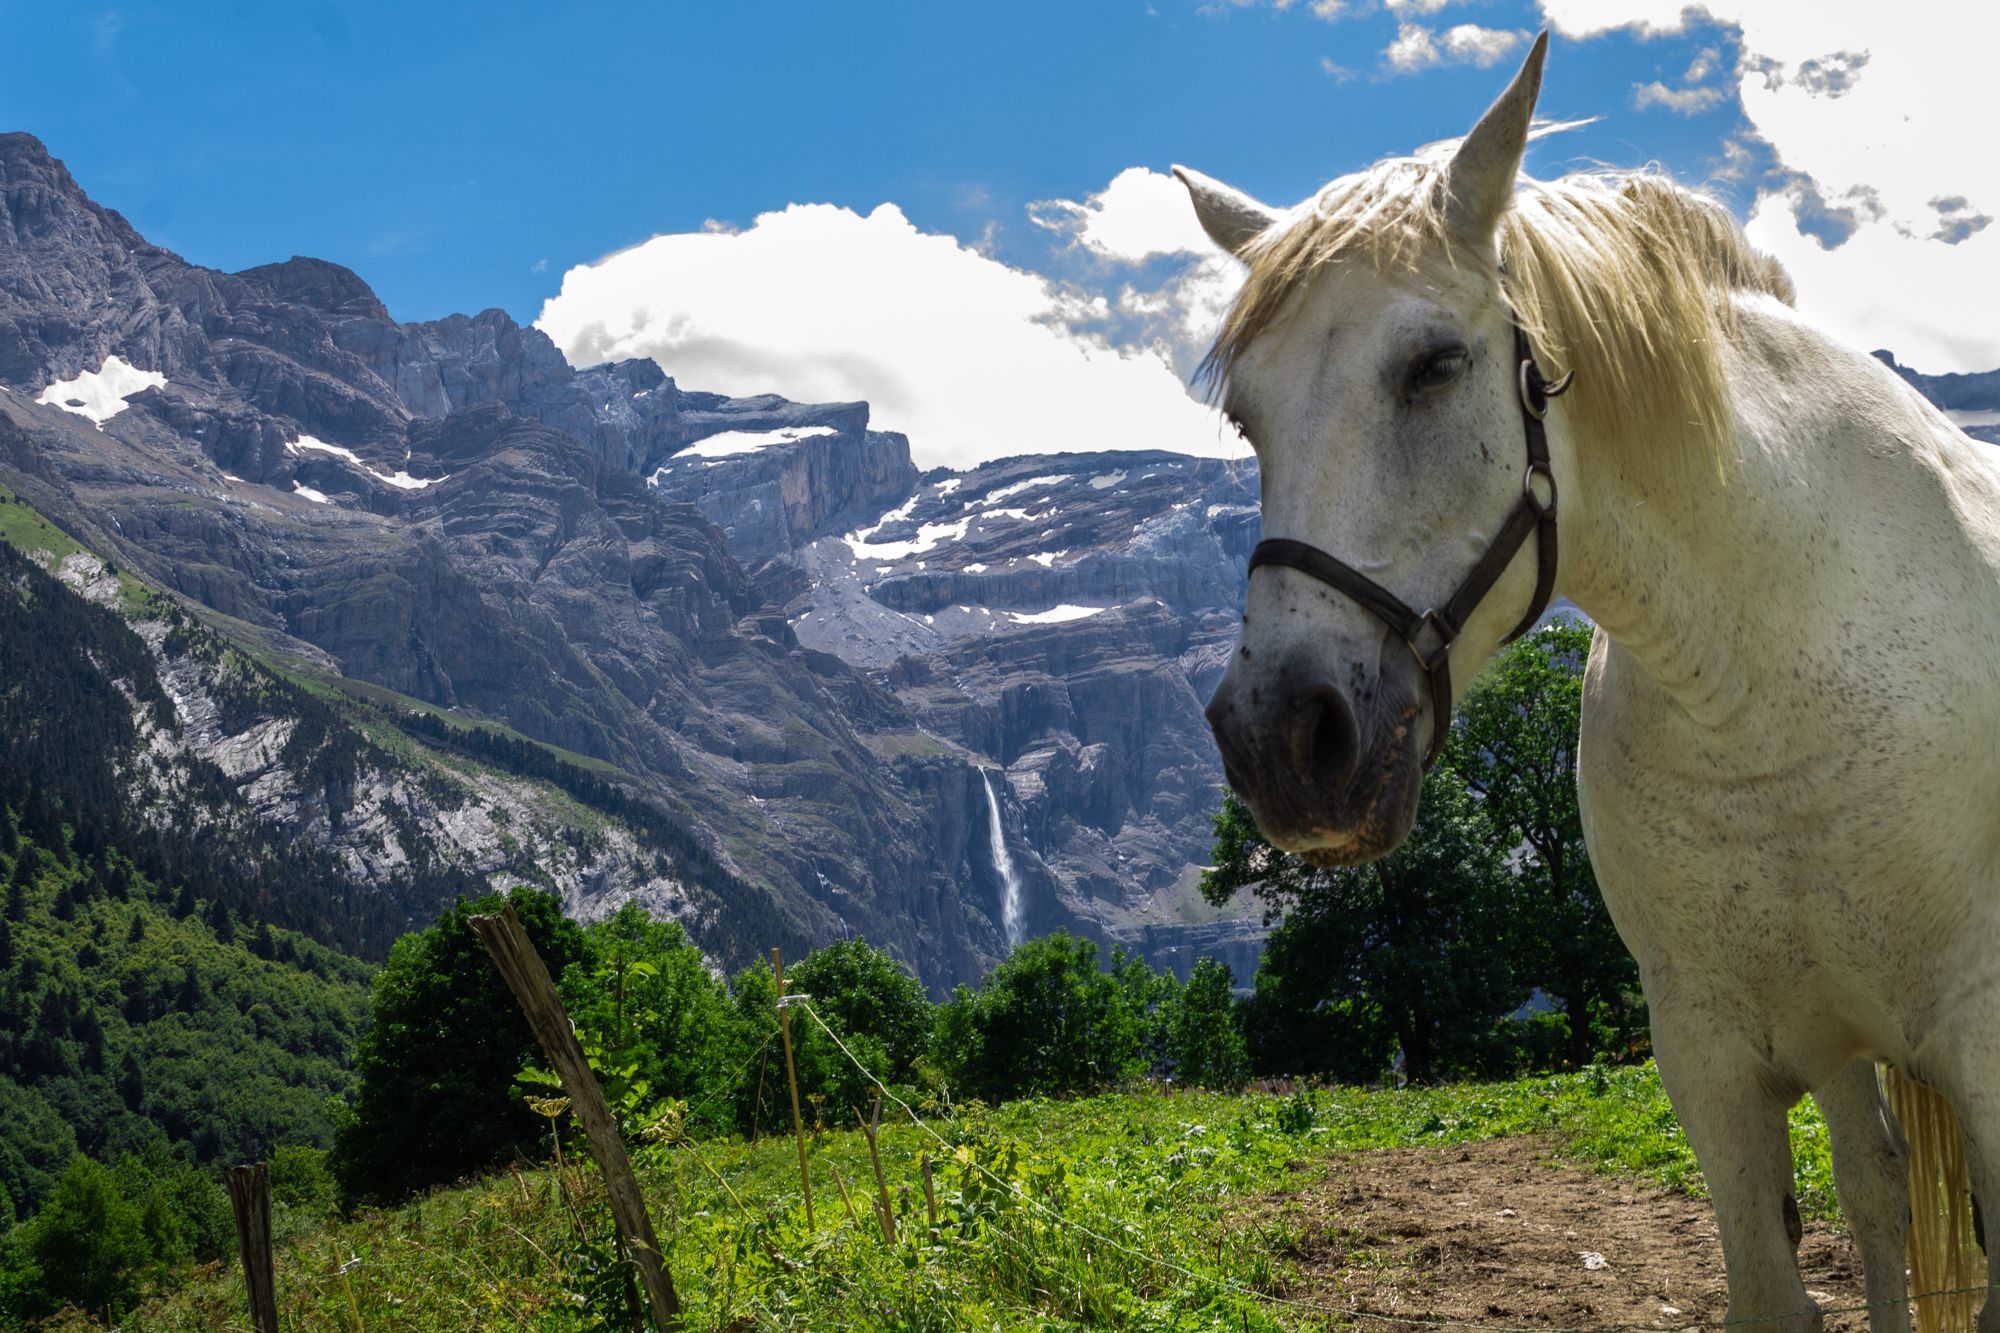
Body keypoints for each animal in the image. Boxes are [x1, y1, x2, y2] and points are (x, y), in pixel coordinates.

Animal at [1184, 31, 2000, 1328]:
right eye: (1247, 417)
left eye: (1432, 365)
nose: (1278, 739)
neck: (1759, 690)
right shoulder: (1712, 1063)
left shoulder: (1983, 1042)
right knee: (1875, 1193)